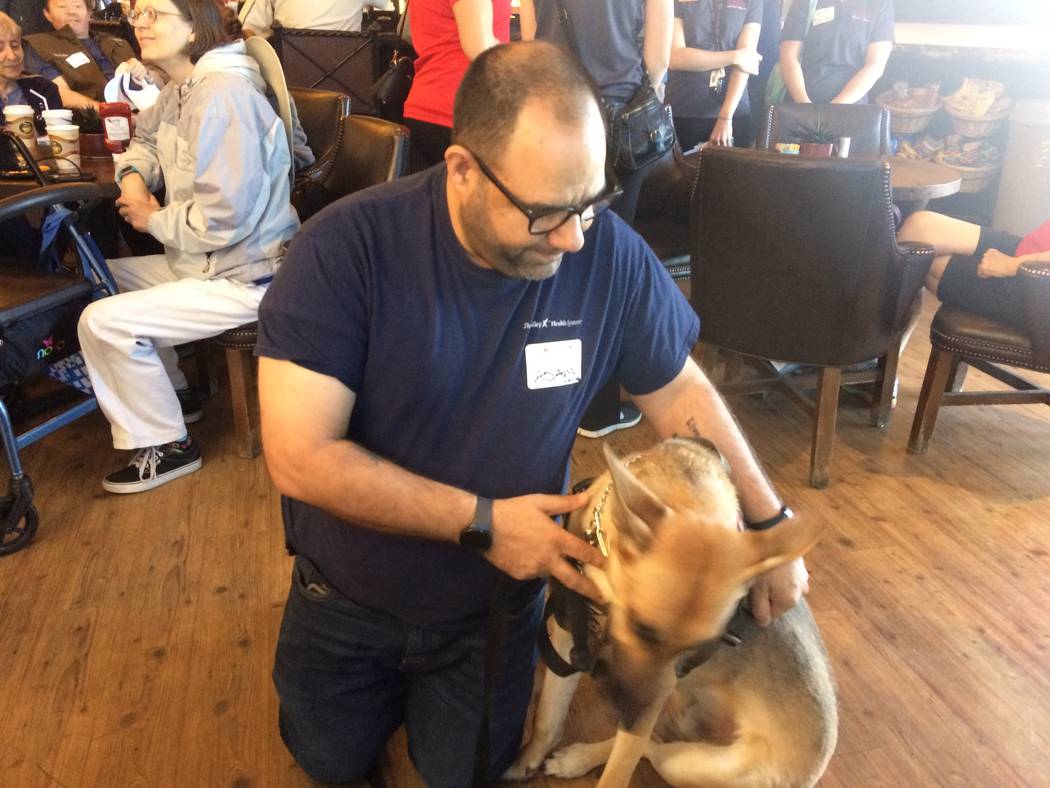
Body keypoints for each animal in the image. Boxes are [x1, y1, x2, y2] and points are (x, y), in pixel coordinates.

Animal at [504, 438, 837, 787]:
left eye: (700, 649)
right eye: (639, 627)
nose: (631, 713)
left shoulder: (654, 693)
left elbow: (618, 771)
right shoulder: (568, 635)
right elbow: (547, 715)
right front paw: (528, 757)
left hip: (689, 765)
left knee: (651, 748)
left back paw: (577, 758)